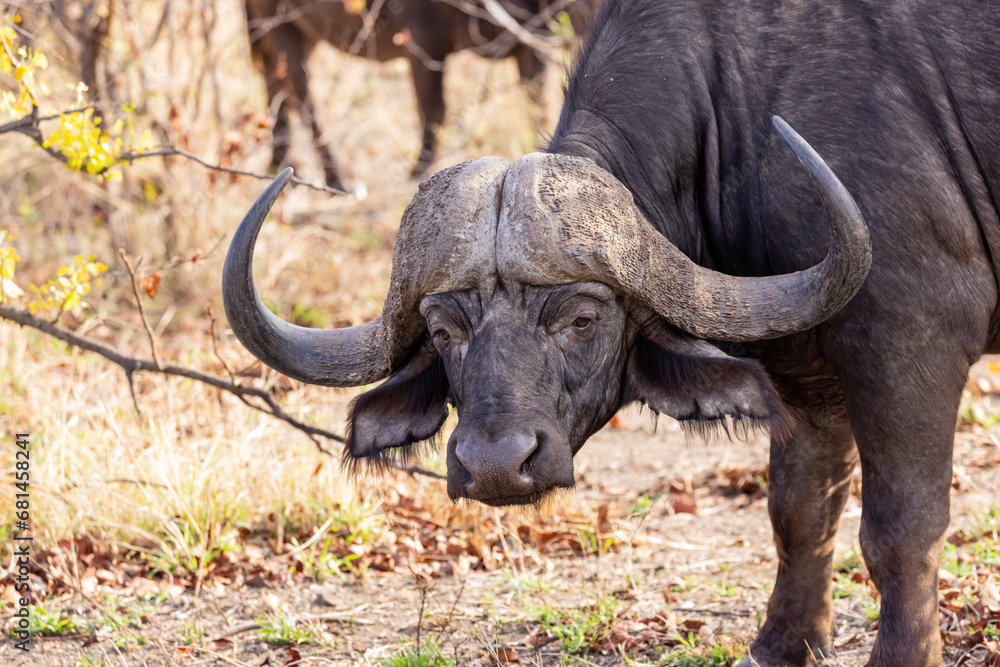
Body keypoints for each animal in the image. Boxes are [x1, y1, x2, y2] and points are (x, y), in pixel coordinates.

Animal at [244, 0, 594, 193]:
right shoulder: (424, 41)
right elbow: (433, 107)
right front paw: (420, 170)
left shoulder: (532, 46)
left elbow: (538, 105)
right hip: (277, 21)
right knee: (300, 88)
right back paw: (339, 178)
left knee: (275, 81)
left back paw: (281, 161)